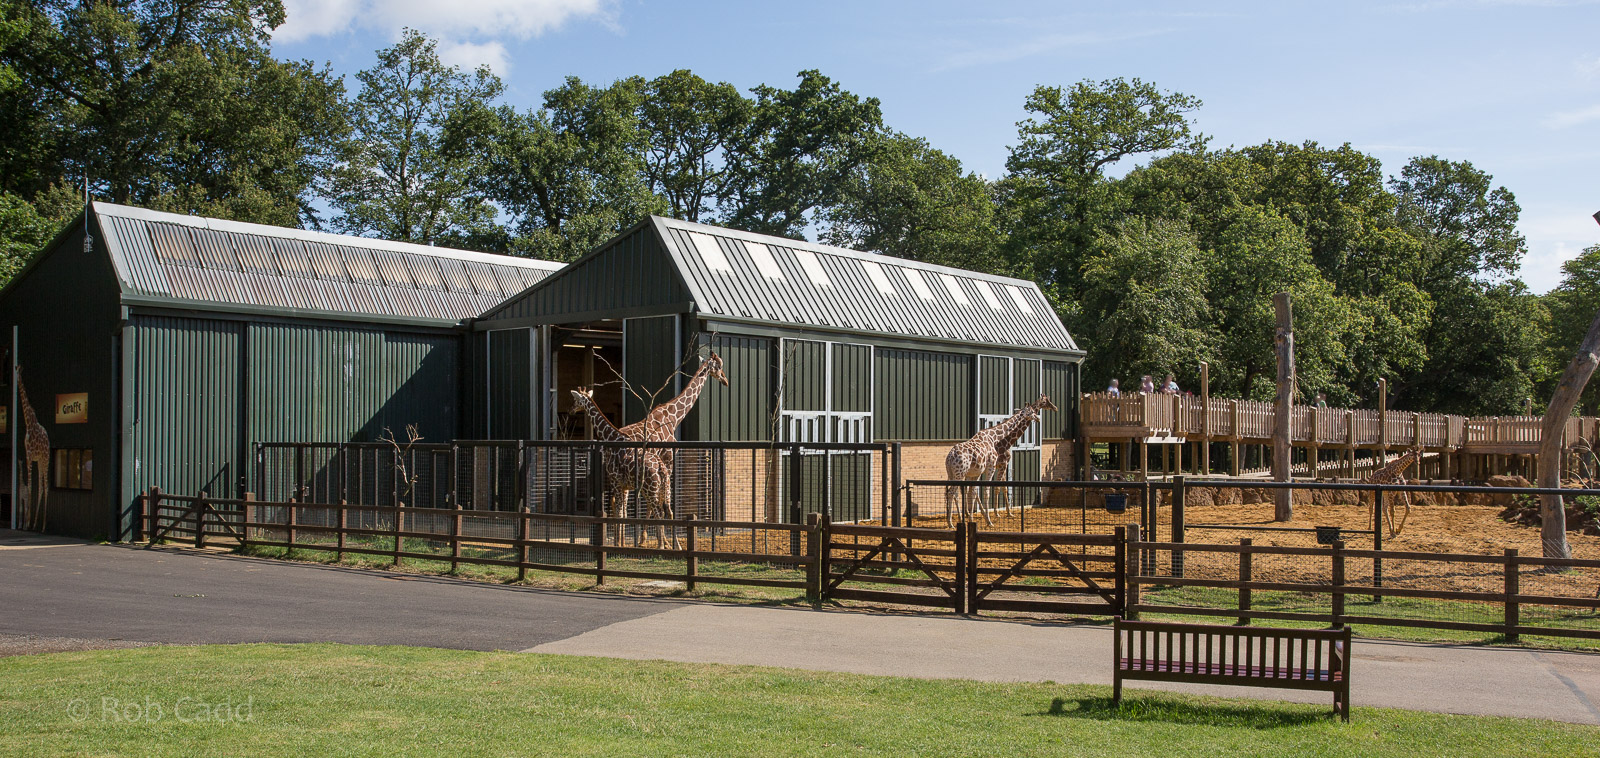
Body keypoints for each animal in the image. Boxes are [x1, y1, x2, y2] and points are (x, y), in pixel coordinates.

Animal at [570, 388, 674, 549]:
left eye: (576, 400)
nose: (571, 410)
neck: (611, 437)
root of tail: (660, 469)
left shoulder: (615, 482)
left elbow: (618, 513)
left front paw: (617, 544)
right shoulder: (624, 486)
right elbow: (623, 513)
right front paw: (620, 542)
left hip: (650, 489)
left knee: (658, 511)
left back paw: (660, 546)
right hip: (664, 487)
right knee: (667, 511)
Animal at [944, 395, 1059, 527]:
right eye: (1045, 401)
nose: (1055, 408)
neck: (996, 439)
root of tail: (949, 457)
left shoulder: (981, 471)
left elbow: (976, 492)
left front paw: (975, 519)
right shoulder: (995, 466)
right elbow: (990, 490)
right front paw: (991, 518)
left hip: (953, 474)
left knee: (955, 493)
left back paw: (959, 517)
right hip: (960, 473)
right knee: (952, 492)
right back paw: (951, 522)